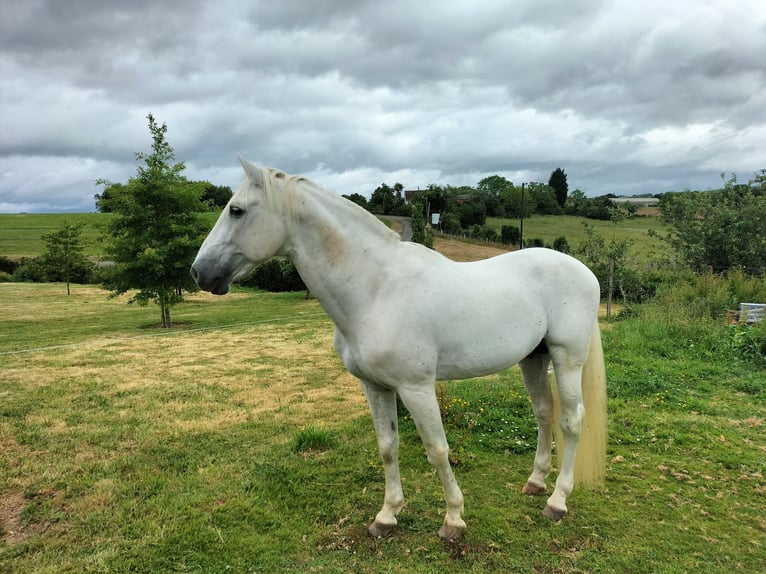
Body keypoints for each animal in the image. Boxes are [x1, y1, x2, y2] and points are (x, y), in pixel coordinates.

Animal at [194, 159, 612, 544]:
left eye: (236, 210)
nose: (199, 273)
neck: (375, 289)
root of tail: (585, 272)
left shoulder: (417, 387)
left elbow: (437, 449)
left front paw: (453, 520)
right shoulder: (375, 386)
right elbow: (388, 447)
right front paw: (387, 516)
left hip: (566, 357)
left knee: (571, 420)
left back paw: (557, 501)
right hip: (533, 358)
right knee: (544, 414)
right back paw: (536, 483)